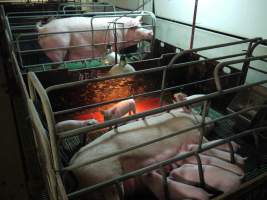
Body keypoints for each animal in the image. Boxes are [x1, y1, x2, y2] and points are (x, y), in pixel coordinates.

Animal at [69, 108, 214, 199]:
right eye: (196, 112)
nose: (210, 119)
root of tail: (72, 166)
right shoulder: (192, 132)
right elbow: (203, 140)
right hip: (105, 178)